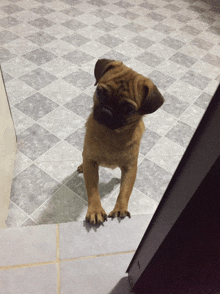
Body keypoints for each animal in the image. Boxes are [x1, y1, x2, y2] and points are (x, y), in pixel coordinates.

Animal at [76, 59, 164, 225]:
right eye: (99, 92)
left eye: (128, 109)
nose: (107, 111)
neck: (112, 135)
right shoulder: (91, 162)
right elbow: (92, 188)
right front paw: (95, 210)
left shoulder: (130, 167)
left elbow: (125, 190)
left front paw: (120, 208)